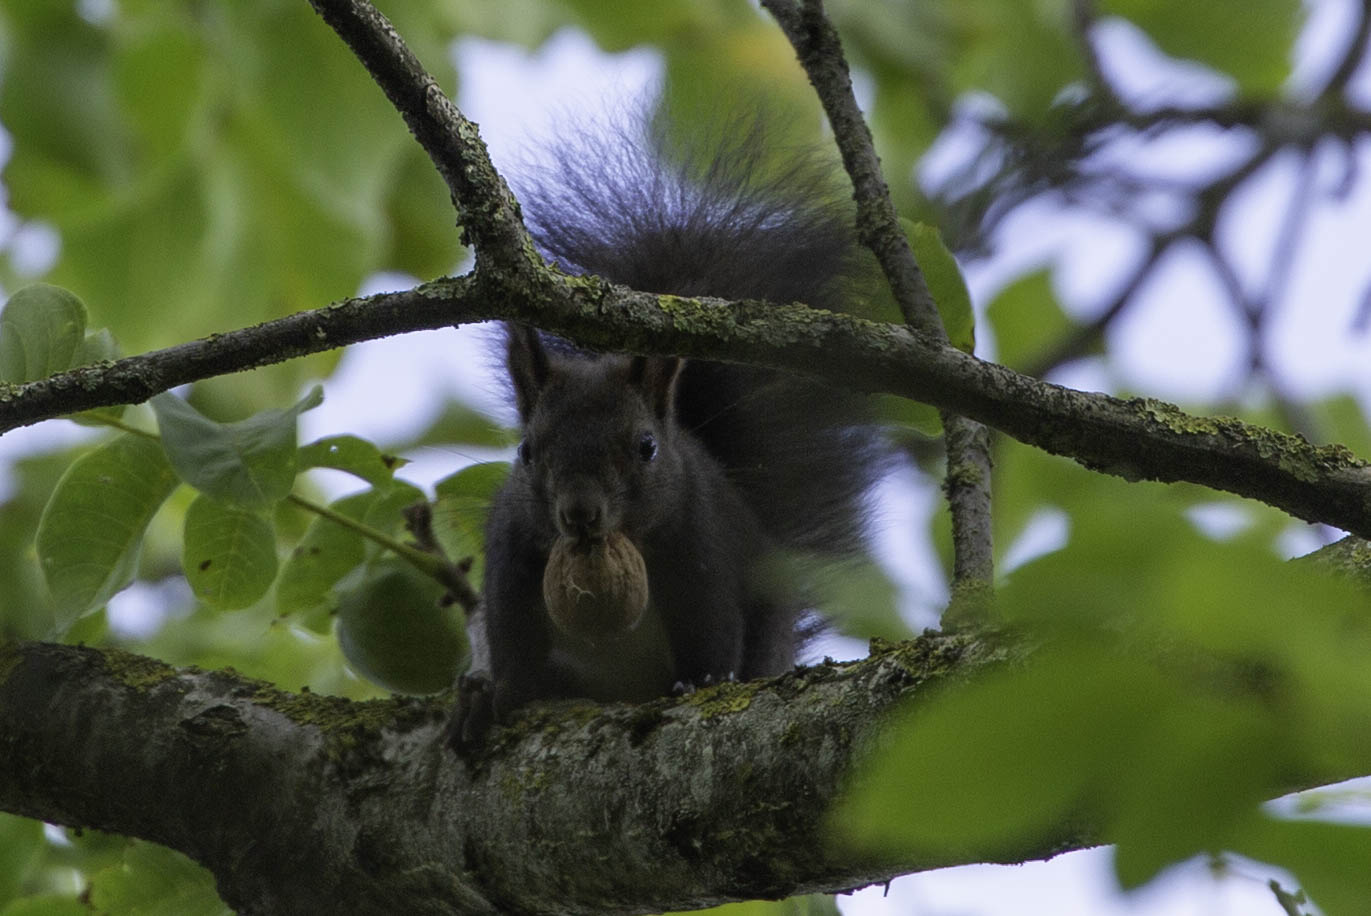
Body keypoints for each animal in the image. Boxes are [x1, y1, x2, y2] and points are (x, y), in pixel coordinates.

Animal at [444, 112, 882, 751]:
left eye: (646, 448)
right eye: (526, 451)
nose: (579, 513)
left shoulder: (701, 548)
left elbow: (712, 629)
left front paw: (700, 684)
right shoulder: (514, 555)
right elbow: (513, 637)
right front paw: (502, 695)